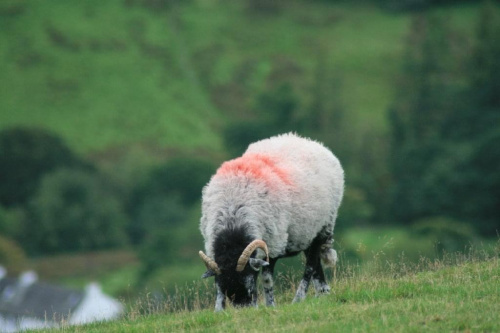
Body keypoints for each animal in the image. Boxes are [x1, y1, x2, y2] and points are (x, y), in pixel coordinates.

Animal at [199, 132, 344, 308]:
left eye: (249, 284)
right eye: (226, 290)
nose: (244, 309)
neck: (233, 220)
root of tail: (311, 142)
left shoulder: (273, 244)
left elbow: (267, 279)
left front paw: (270, 306)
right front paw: (219, 309)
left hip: (324, 225)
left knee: (310, 264)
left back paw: (299, 298)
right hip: (306, 231)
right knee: (314, 261)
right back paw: (322, 292)